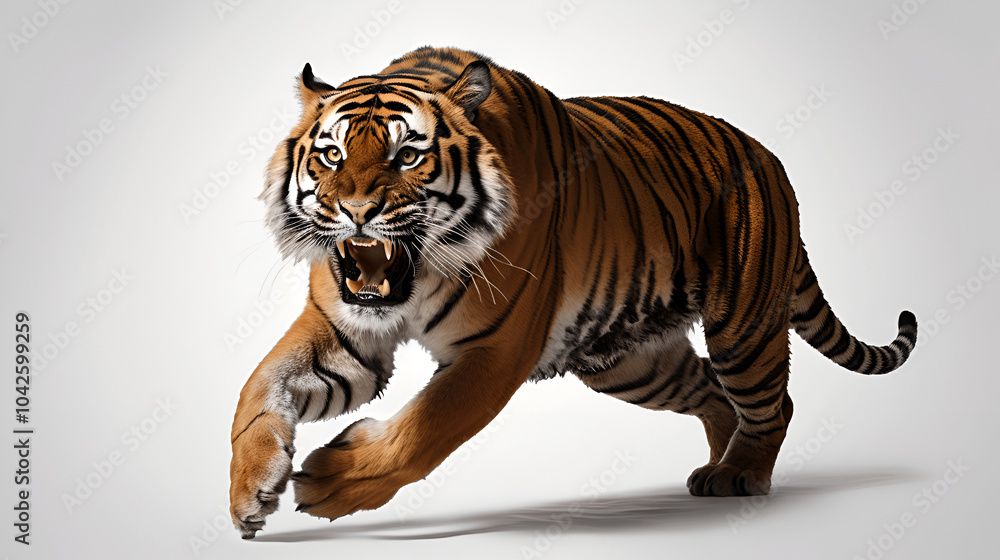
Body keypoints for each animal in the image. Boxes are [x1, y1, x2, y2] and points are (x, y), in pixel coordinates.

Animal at [229, 46, 917, 539]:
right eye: (331, 156)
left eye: (406, 157)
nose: (355, 211)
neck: (416, 278)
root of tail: (770, 158)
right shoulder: (344, 331)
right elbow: (259, 389)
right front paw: (248, 492)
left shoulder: (496, 350)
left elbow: (423, 431)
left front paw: (329, 483)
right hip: (632, 364)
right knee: (716, 395)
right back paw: (715, 468)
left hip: (742, 323)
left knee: (774, 403)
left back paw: (742, 474)